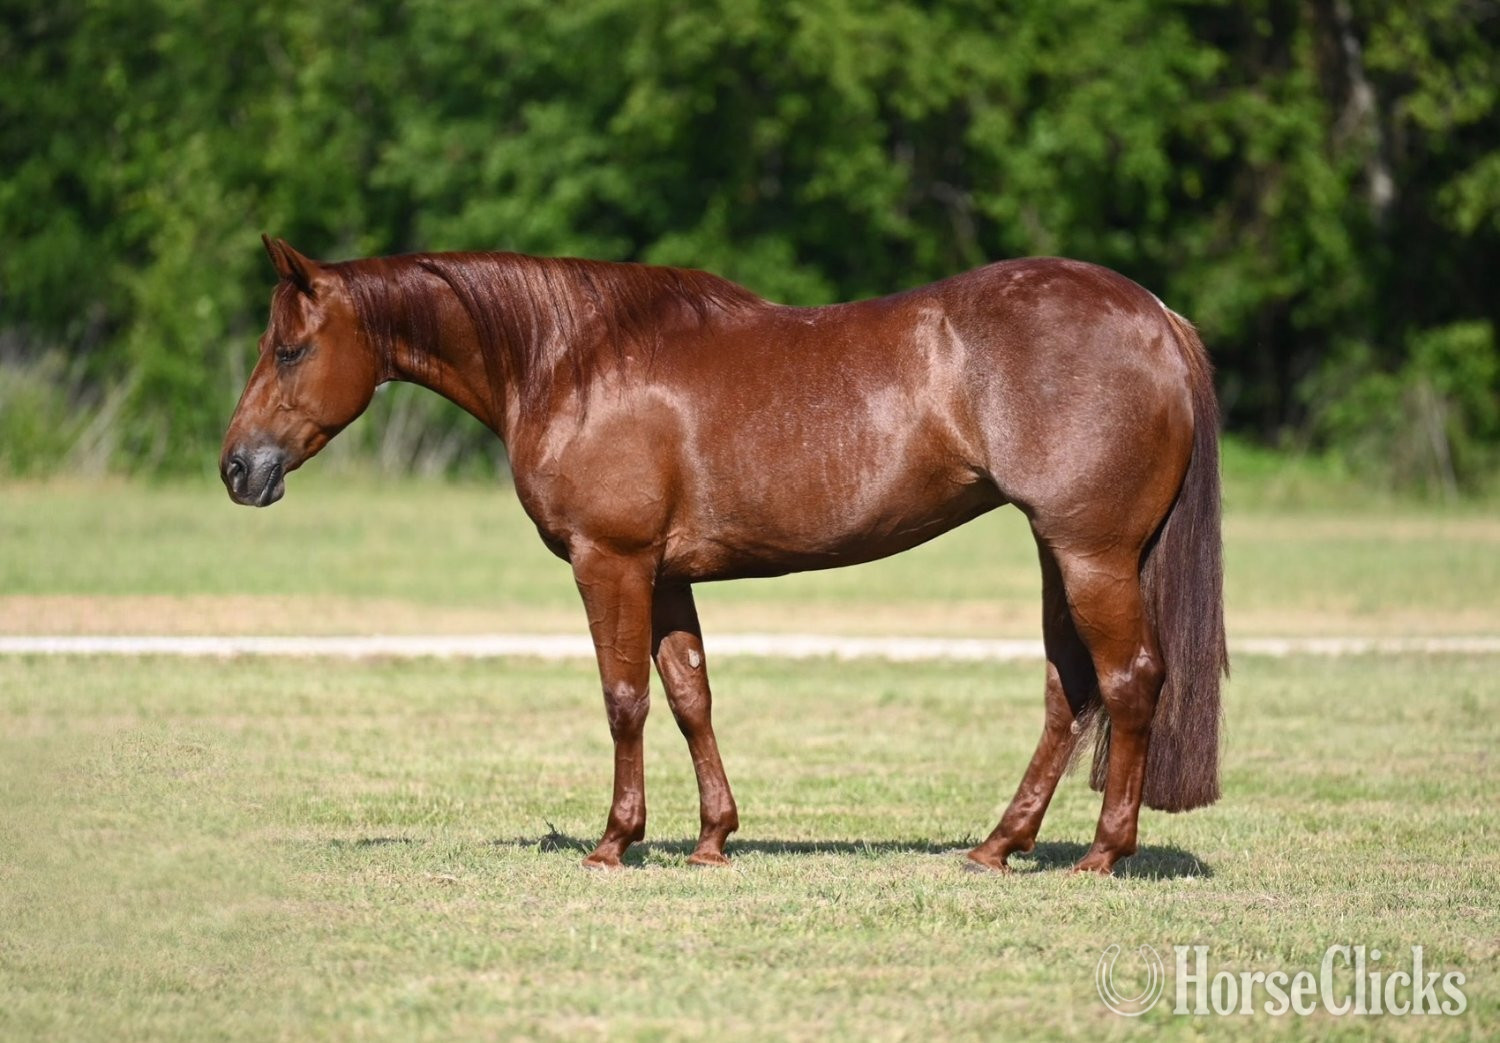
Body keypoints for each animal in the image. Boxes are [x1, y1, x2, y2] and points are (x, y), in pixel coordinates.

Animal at [222, 235, 1227, 874]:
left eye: (290, 349)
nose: (237, 467)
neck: (572, 359)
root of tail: (1156, 315)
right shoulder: (666, 577)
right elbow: (689, 696)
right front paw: (712, 838)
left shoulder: (612, 561)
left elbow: (623, 699)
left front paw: (615, 840)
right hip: (1063, 554)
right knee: (1070, 689)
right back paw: (996, 846)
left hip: (1091, 554)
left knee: (1128, 680)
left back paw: (1101, 852)